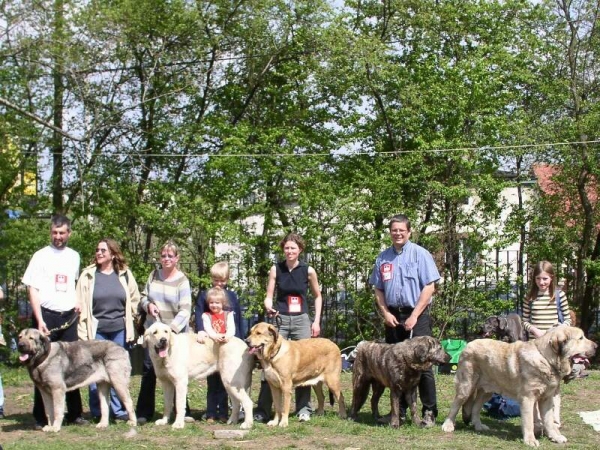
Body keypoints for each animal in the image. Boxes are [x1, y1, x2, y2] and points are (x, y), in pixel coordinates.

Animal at [440, 326, 596, 446]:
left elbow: (549, 421)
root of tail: (469, 344)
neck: (546, 359)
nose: (596, 346)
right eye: (581, 338)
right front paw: (530, 440)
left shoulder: (546, 399)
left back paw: (479, 426)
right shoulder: (528, 398)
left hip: (486, 391)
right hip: (466, 386)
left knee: (475, 408)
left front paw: (555, 437)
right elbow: (529, 421)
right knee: (455, 405)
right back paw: (448, 425)